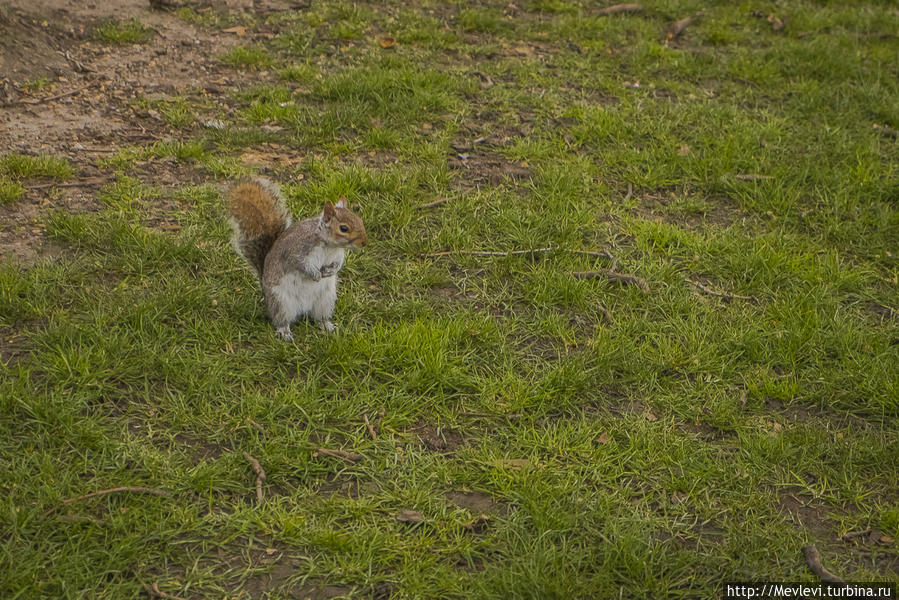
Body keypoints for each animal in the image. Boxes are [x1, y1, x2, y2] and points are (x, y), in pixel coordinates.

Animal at [227, 178, 368, 340]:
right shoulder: (296, 250)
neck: (329, 245)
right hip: (281, 302)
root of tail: (303, 308)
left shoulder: (338, 254)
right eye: (344, 228)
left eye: (359, 219)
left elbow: (338, 264)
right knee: (281, 319)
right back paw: (284, 331)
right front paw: (315, 274)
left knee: (319, 317)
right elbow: (300, 264)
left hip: (325, 301)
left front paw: (330, 271)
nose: (364, 242)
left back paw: (327, 325)